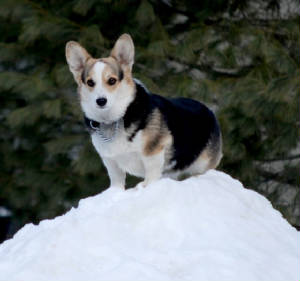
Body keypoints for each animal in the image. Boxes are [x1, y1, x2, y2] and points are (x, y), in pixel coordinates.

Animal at [64, 33, 221, 188]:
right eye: (90, 82)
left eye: (112, 80)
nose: (101, 101)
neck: (114, 119)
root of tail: (209, 110)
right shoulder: (111, 162)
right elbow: (117, 182)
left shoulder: (153, 154)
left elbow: (151, 177)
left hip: (202, 165)